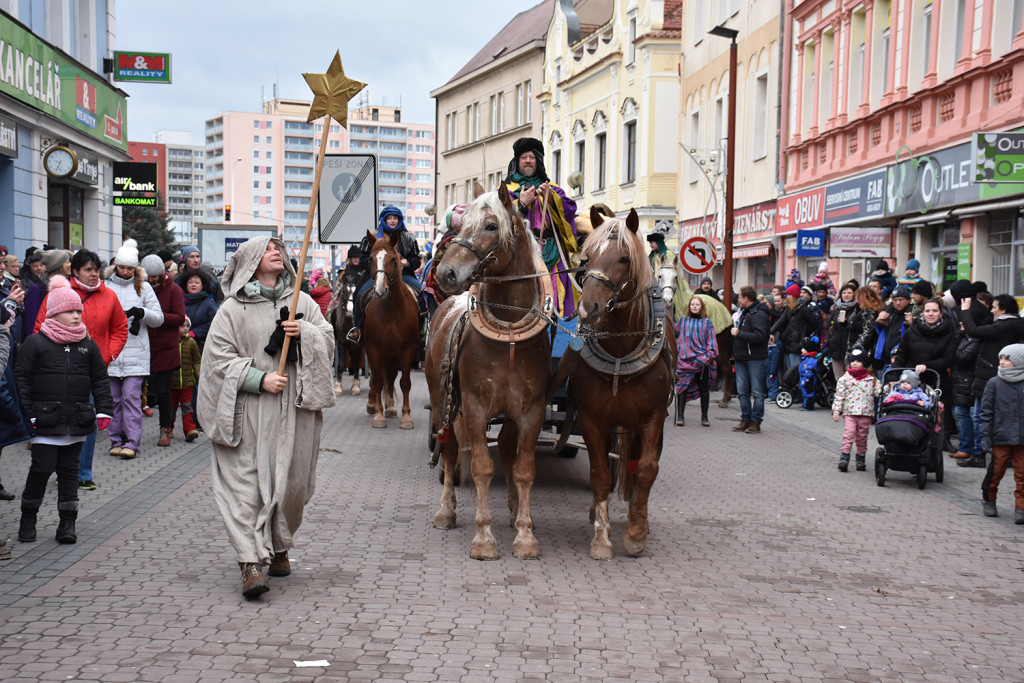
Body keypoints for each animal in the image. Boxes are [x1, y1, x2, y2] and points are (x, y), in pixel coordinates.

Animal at [364, 232, 419, 430]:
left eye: (393, 259)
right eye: (371, 259)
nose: (380, 290)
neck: (390, 311)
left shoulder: (407, 350)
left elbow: (404, 382)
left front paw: (406, 417)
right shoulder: (374, 349)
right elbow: (378, 381)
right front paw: (379, 416)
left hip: (393, 355)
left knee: (391, 376)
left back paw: (390, 407)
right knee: (378, 378)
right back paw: (374, 405)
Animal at [423, 183, 552, 561]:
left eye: (491, 226)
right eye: (461, 223)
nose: (447, 274)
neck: (508, 334)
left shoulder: (531, 412)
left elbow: (523, 470)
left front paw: (524, 534)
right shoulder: (476, 408)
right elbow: (481, 467)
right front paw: (483, 538)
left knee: (507, 453)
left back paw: (512, 510)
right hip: (443, 403)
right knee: (449, 451)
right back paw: (446, 511)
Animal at [573, 208, 675, 561]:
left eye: (623, 258)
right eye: (587, 257)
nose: (587, 308)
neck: (620, 350)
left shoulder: (653, 417)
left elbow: (645, 470)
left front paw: (636, 532)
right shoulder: (590, 418)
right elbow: (600, 475)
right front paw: (601, 539)